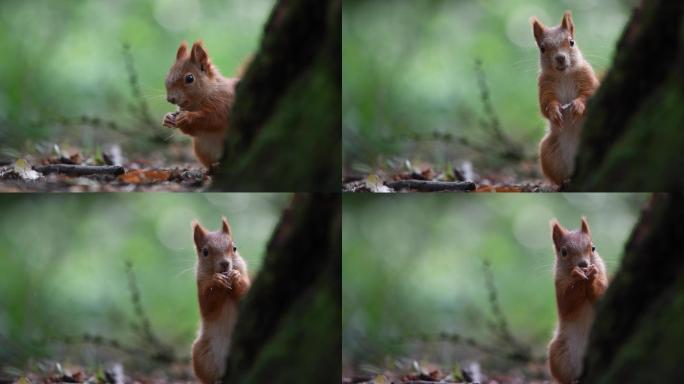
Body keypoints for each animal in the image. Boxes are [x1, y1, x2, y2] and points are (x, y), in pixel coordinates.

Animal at [163, 41, 240, 169]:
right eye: (167, 77)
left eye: (189, 78)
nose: (170, 99)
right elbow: (193, 131)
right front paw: (167, 118)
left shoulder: (225, 103)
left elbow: (215, 118)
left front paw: (187, 117)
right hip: (201, 148)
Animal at [191, 218, 250, 382]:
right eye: (205, 252)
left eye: (234, 248)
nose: (225, 264)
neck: (227, 292)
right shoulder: (201, 290)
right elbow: (207, 306)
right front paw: (216, 281)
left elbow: (246, 290)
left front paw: (236, 277)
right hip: (200, 354)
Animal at [536, 10, 600, 186]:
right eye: (542, 48)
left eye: (571, 42)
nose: (560, 58)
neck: (563, 75)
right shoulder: (544, 85)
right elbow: (544, 105)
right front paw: (554, 111)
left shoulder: (587, 77)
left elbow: (589, 94)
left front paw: (578, 106)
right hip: (547, 151)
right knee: (558, 176)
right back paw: (564, 181)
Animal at [548, 218, 608, 382]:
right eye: (563, 252)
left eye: (593, 248)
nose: (583, 265)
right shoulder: (560, 289)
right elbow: (567, 302)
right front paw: (577, 275)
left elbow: (601, 293)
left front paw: (592, 275)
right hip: (556, 354)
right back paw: (572, 380)